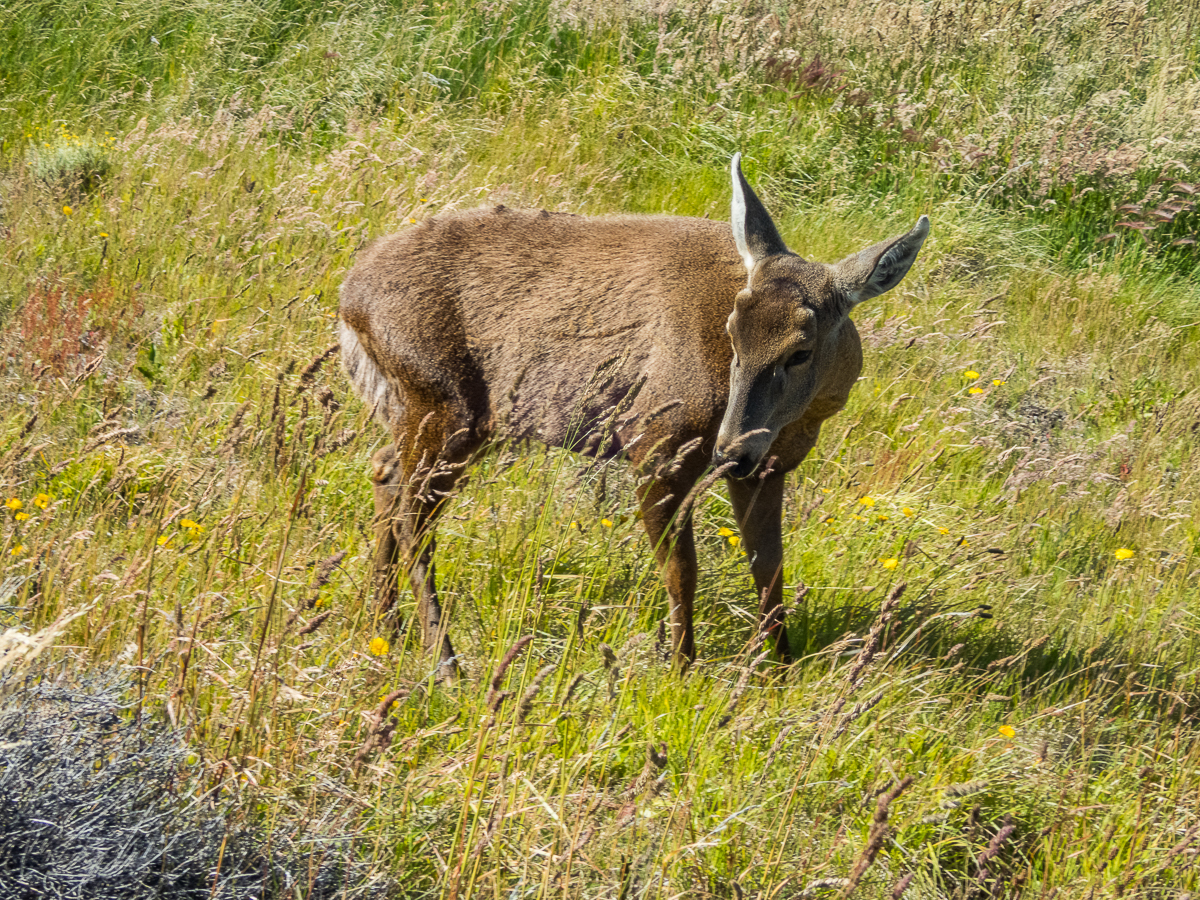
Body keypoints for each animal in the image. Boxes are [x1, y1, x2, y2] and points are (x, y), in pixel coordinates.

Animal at [338, 154, 926, 681]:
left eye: (800, 350)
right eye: (732, 333)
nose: (730, 450)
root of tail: (348, 297)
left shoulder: (772, 466)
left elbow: (770, 568)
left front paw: (778, 669)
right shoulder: (656, 442)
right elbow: (682, 568)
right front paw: (682, 671)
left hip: (445, 413)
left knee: (386, 471)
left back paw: (384, 629)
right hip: (440, 398)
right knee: (415, 519)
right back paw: (445, 663)